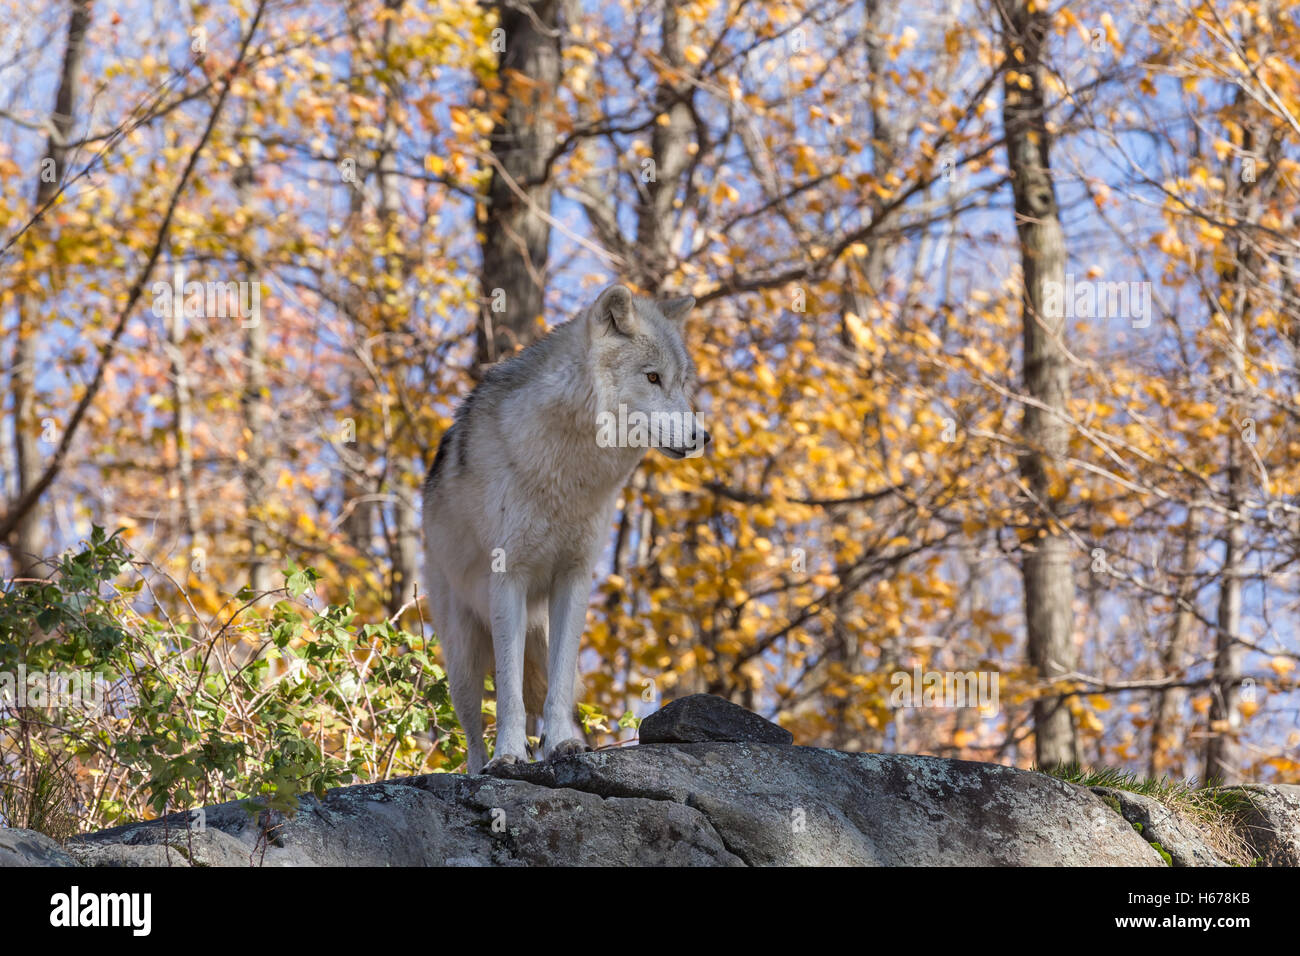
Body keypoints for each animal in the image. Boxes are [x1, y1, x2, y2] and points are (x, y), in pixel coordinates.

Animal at [423, 280, 712, 775]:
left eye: (681, 383)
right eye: (653, 378)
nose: (701, 437)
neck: (569, 471)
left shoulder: (574, 578)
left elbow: (558, 684)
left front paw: (561, 745)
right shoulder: (509, 577)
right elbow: (508, 694)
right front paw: (509, 756)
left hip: (534, 632)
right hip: (462, 656)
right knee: (473, 728)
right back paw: (482, 767)